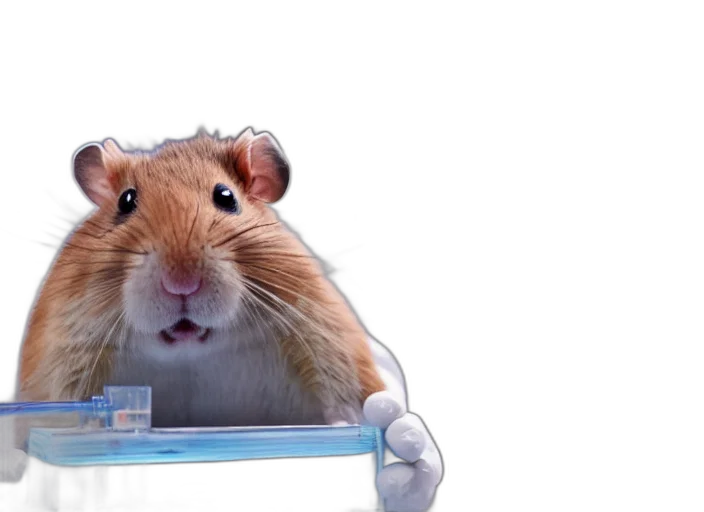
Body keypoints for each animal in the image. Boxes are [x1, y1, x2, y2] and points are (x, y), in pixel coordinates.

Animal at [7, 128, 387, 440]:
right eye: (126, 201)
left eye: (226, 197)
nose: (182, 282)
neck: (190, 348)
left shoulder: (325, 342)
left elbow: (347, 406)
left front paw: (351, 424)